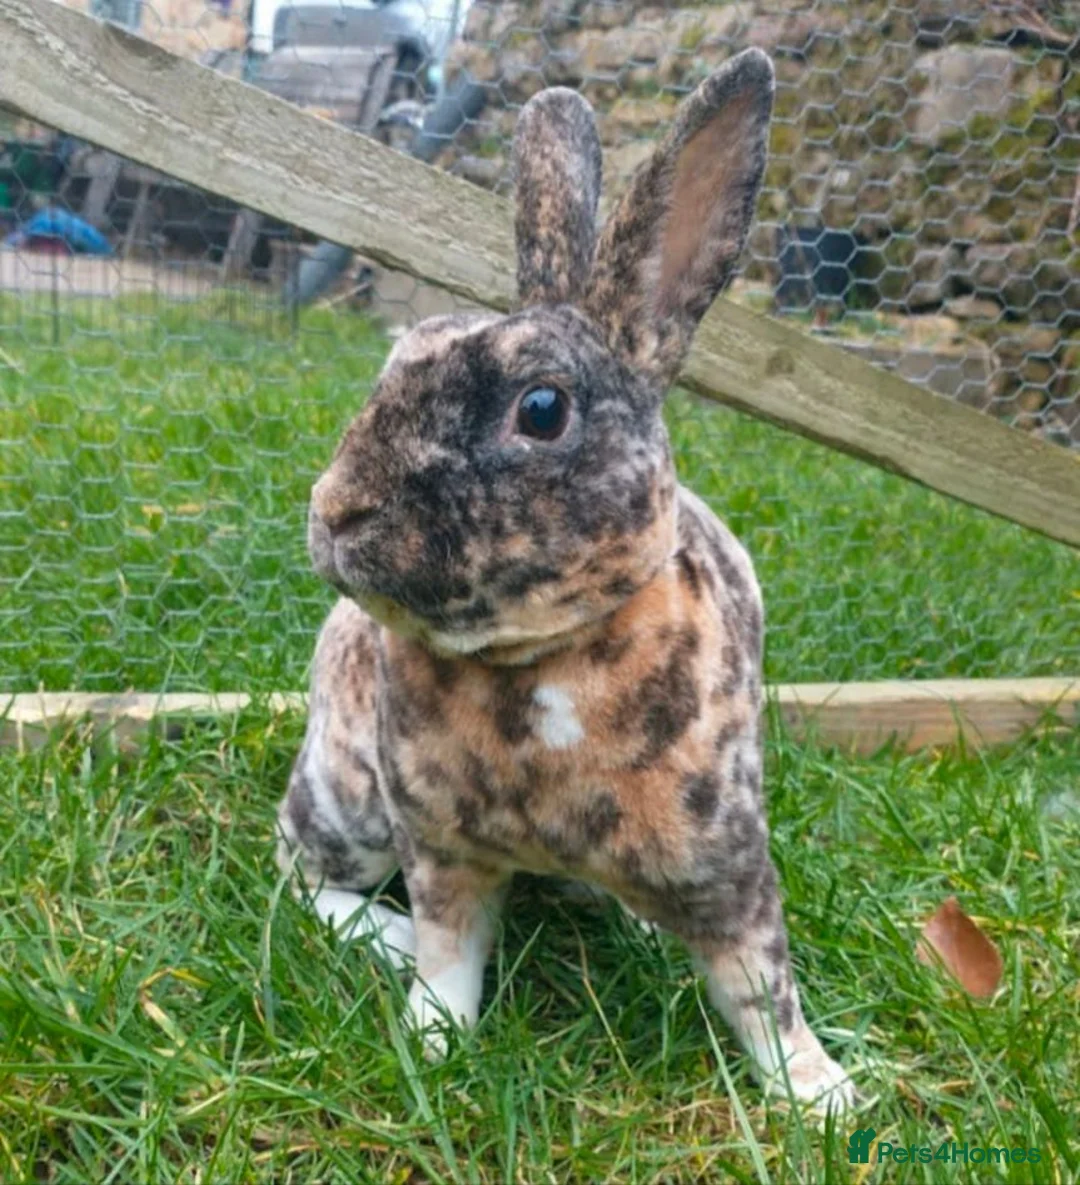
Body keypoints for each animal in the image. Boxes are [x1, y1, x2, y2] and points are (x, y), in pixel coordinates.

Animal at [276, 47, 854, 1111]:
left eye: (541, 408)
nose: (336, 511)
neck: (541, 659)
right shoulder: (443, 854)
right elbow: (449, 961)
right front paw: (432, 1047)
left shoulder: (730, 866)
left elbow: (765, 994)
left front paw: (824, 1095)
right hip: (353, 799)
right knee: (297, 865)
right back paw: (382, 932)